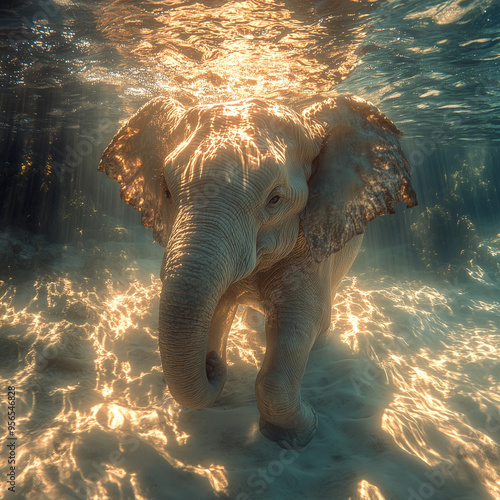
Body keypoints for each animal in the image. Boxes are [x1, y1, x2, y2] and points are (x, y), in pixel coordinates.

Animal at [98, 94, 418, 450]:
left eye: (275, 199)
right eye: (166, 191)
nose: (212, 362)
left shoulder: (309, 246)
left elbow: (298, 321)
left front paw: (298, 434)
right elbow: (220, 307)